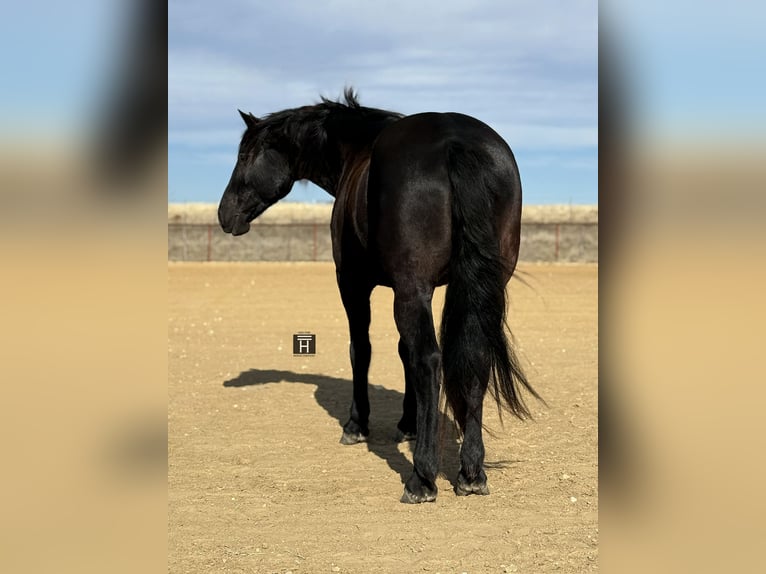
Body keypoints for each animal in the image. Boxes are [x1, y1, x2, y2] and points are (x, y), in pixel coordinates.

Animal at [218, 89, 542, 503]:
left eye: (245, 155)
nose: (224, 214)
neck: (357, 149)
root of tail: (455, 141)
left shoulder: (355, 284)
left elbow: (363, 349)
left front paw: (357, 425)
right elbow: (404, 353)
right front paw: (408, 422)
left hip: (409, 291)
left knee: (429, 360)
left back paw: (422, 477)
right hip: (479, 288)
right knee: (473, 357)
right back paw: (471, 472)